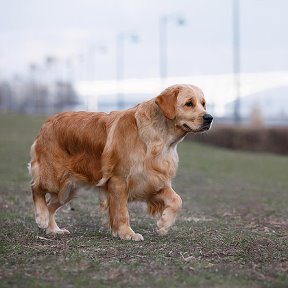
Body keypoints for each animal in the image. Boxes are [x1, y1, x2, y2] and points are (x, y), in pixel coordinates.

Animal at [29, 84, 213, 241]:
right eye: (189, 103)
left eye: (203, 104)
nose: (209, 118)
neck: (160, 138)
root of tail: (48, 122)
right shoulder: (119, 180)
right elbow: (122, 211)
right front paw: (127, 233)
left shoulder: (152, 180)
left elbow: (177, 200)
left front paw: (164, 224)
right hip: (54, 177)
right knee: (36, 189)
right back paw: (41, 217)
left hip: (69, 188)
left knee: (50, 205)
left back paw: (53, 229)